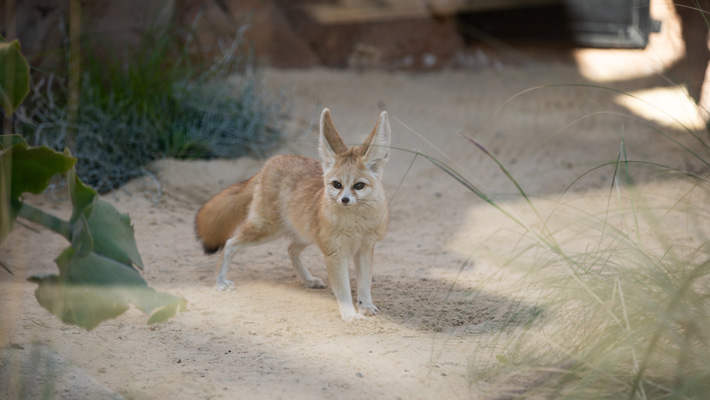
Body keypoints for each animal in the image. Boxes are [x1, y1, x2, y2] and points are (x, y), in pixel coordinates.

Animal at [195, 108, 392, 320]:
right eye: (337, 184)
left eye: (359, 186)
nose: (345, 200)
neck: (356, 225)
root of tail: (272, 161)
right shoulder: (335, 254)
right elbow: (344, 289)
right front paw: (350, 315)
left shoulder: (365, 249)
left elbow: (365, 284)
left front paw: (366, 306)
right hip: (266, 230)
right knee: (230, 244)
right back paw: (220, 280)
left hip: (304, 234)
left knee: (291, 249)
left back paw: (308, 280)